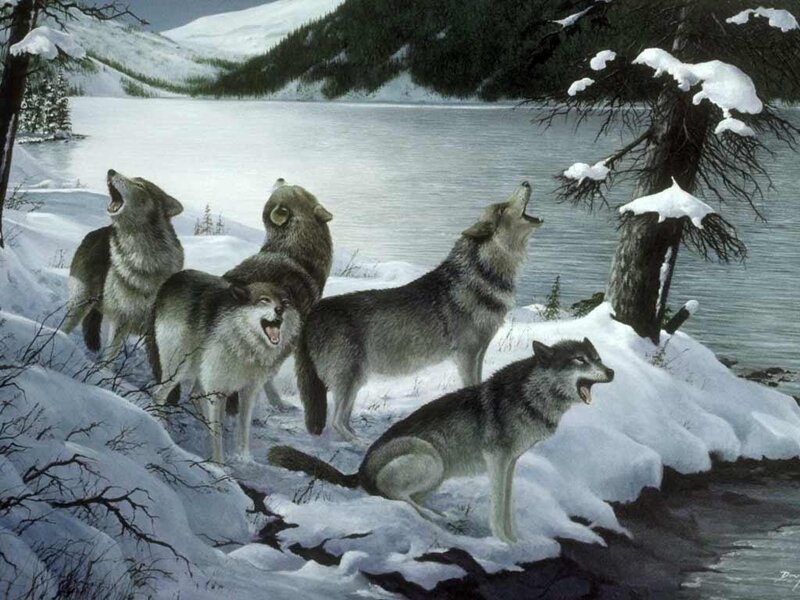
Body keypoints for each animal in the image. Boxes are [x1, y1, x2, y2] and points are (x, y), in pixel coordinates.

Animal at [63, 169, 184, 360]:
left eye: (140, 185)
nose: (111, 171)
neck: (143, 259)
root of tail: (95, 232)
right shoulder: (120, 321)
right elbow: (109, 358)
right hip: (80, 304)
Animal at [151, 270, 299, 464]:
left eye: (285, 302)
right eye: (264, 300)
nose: (280, 310)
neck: (245, 343)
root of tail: (174, 278)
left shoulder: (248, 391)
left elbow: (243, 428)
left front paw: (245, 459)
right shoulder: (217, 391)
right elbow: (218, 430)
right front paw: (219, 463)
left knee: (194, 395)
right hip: (179, 367)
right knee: (158, 395)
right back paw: (161, 428)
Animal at [270, 338, 614, 542]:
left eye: (597, 357)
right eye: (580, 360)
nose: (611, 372)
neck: (531, 395)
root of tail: (359, 470)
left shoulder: (511, 463)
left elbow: (507, 503)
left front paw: (517, 540)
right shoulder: (498, 461)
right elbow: (497, 507)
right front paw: (505, 543)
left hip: (440, 472)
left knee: (412, 497)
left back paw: (441, 514)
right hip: (430, 458)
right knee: (394, 496)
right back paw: (433, 518)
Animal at [297, 181, 542, 439]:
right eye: (503, 208)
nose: (526, 182)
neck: (484, 275)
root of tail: (312, 314)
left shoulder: (479, 353)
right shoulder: (466, 355)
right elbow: (471, 385)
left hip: (354, 382)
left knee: (342, 419)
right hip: (350, 379)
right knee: (336, 421)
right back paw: (361, 443)